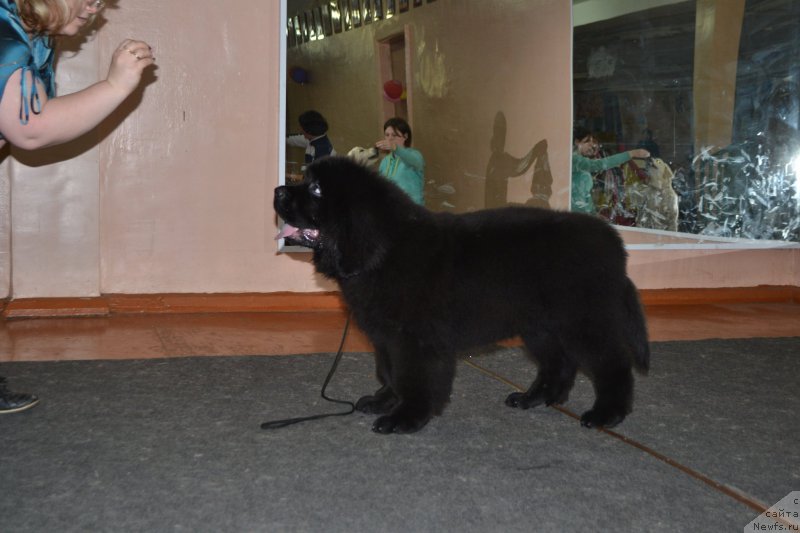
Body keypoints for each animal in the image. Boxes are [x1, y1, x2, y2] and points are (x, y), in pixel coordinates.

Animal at [276, 155, 648, 432]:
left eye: (316, 189)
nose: (278, 191)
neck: (381, 250)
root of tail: (614, 243)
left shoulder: (415, 339)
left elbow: (411, 378)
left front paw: (406, 418)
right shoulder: (386, 337)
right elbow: (390, 373)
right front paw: (383, 401)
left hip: (583, 321)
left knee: (613, 364)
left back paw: (606, 414)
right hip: (540, 326)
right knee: (558, 364)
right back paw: (532, 398)